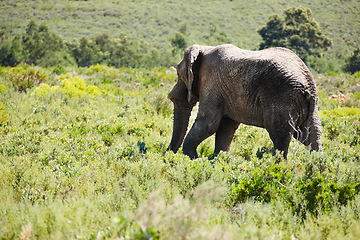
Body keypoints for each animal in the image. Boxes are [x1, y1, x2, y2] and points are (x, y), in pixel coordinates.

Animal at [167, 43, 322, 159]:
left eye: (179, 75)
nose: (167, 155)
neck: (204, 48)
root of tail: (307, 84)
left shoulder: (211, 84)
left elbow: (208, 124)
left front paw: (192, 158)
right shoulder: (225, 92)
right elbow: (226, 127)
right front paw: (217, 160)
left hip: (282, 100)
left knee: (280, 138)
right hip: (310, 107)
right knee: (311, 137)